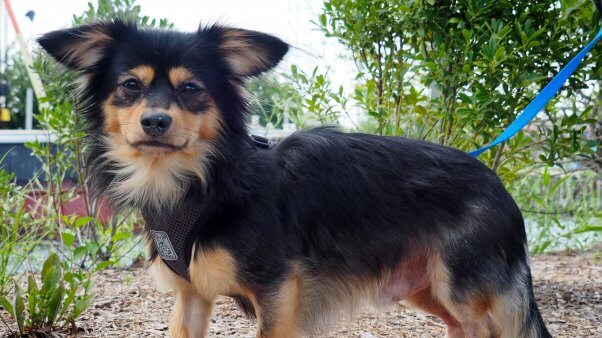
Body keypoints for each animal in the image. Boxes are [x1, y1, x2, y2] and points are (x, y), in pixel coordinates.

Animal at [37, 21, 548, 338]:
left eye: (191, 89)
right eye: (130, 86)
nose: (156, 122)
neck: (201, 182)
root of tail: (499, 185)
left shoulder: (278, 294)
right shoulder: (191, 297)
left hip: (459, 286)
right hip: (427, 288)